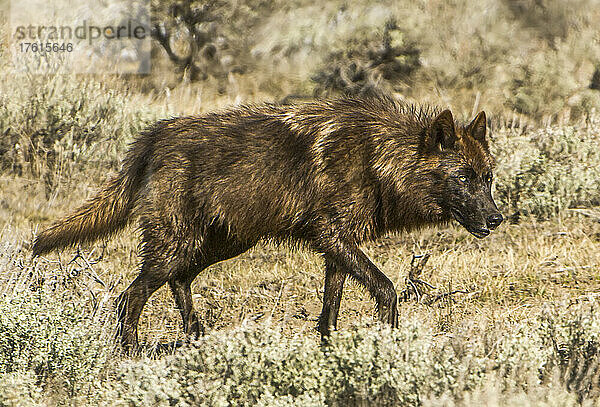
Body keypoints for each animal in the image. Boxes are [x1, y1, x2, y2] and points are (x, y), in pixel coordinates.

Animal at [31, 95, 502, 350]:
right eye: (464, 178)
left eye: (488, 178)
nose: (496, 219)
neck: (378, 158)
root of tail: (153, 136)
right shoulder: (334, 237)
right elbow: (386, 289)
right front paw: (387, 347)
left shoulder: (336, 248)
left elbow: (329, 313)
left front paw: (333, 354)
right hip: (177, 247)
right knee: (130, 298)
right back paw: (130, 355)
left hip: (219, 245)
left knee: (179, 282)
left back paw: (196, 340)